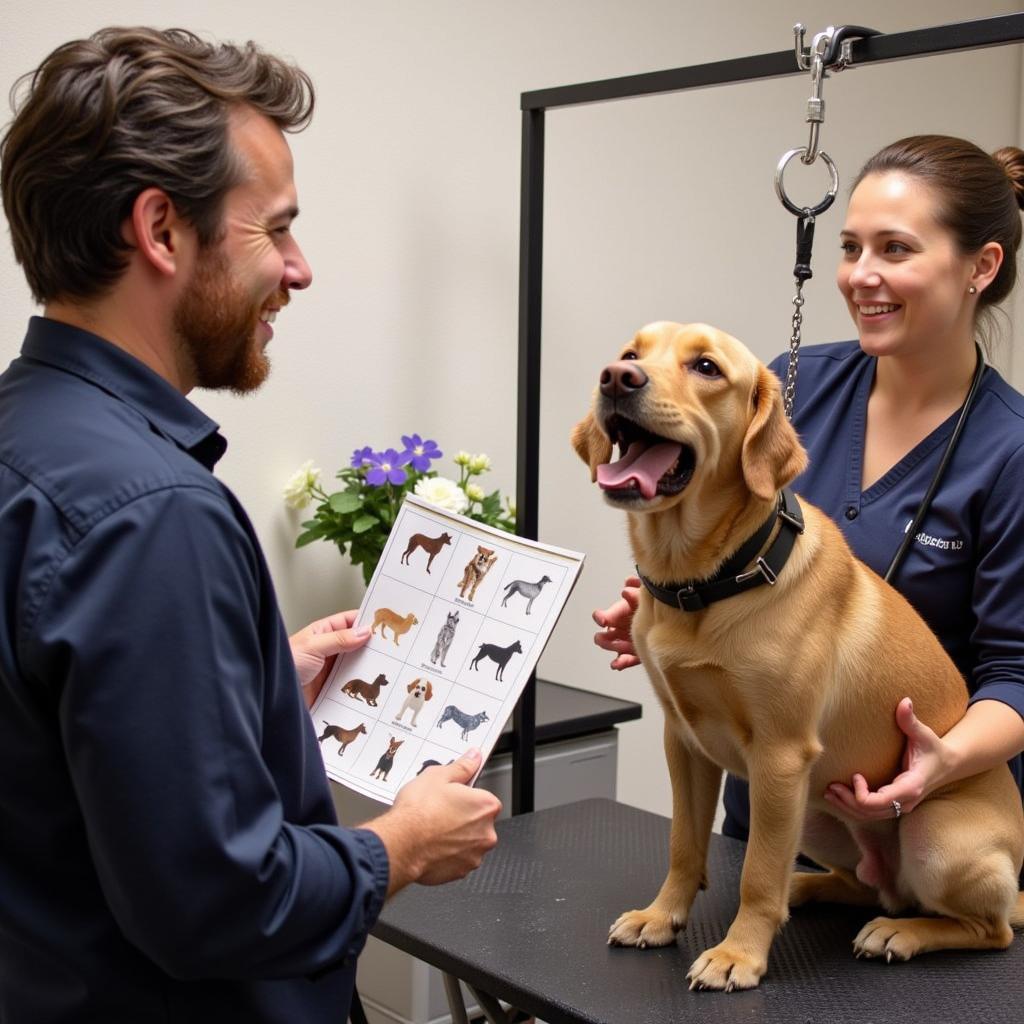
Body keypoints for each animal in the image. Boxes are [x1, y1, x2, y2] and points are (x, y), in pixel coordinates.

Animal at [573, 321, 1019, 991]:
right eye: (631, 354)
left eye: (706, 367)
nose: (616, 379)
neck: (706, 581)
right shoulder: (685, 742)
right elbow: (684, 845)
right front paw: (662, 916)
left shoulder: (780, 756)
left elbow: (755, 874)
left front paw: (738, 955)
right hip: (810, 810)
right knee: (866, 885)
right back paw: (810, 888)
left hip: (927, 834)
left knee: (987, 929)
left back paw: (902, 933)